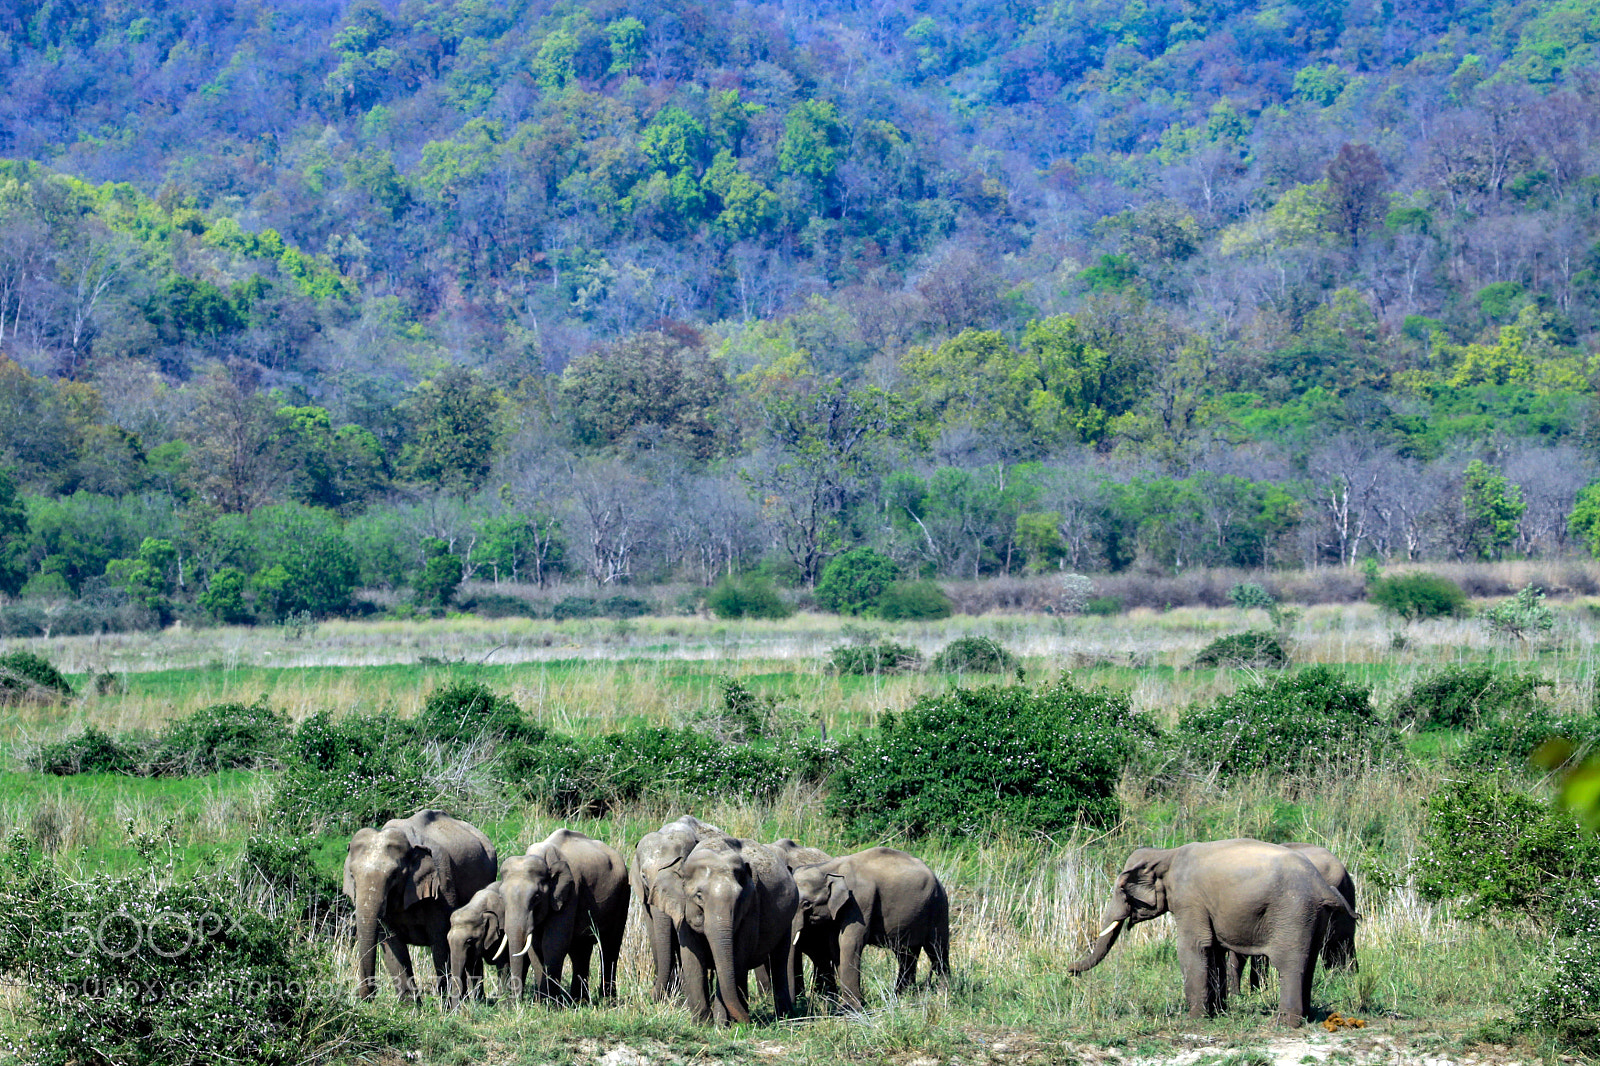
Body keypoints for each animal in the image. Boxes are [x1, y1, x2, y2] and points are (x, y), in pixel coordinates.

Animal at [343, 808, 498, 1001]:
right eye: (352, 875)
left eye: (394, 876)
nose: (368, 996)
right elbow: (393, 946)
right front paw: (409, 1005)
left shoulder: (442, 885)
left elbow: (440, 941)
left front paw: (445, 1003)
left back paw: (476, 1001)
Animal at [501, 828, 630, 1004]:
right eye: (501, 897)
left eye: (536, 897)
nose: (514, 1002)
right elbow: (535, 947)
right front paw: (542, 1002)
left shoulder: (570, 893)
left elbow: (553, 943)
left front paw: (549, 1004)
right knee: (580, 949)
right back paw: (580, 1001)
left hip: (623, 894)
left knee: (610, 945)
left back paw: (607, 1000)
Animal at [656, 834, 798, 1025]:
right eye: (699, 896)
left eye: (739, 898)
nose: (750, 1021)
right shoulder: (684, 913)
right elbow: (693, 958)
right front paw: (702, 1023)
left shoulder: (751, 908)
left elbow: (737, 956)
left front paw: (721, 1025)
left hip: (787, 920)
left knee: (779, 959)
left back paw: (784, 1016)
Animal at [790, 846, 950, 1011]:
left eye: (807, 904)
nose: (797, 1005)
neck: (828, 867)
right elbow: (835, 946)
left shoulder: (860, 901)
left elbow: (850, 942)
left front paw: (849, 1008)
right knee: (906, 954)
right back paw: (903, 996)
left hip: (938, 906)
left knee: (937, 949)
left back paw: (943, 995)